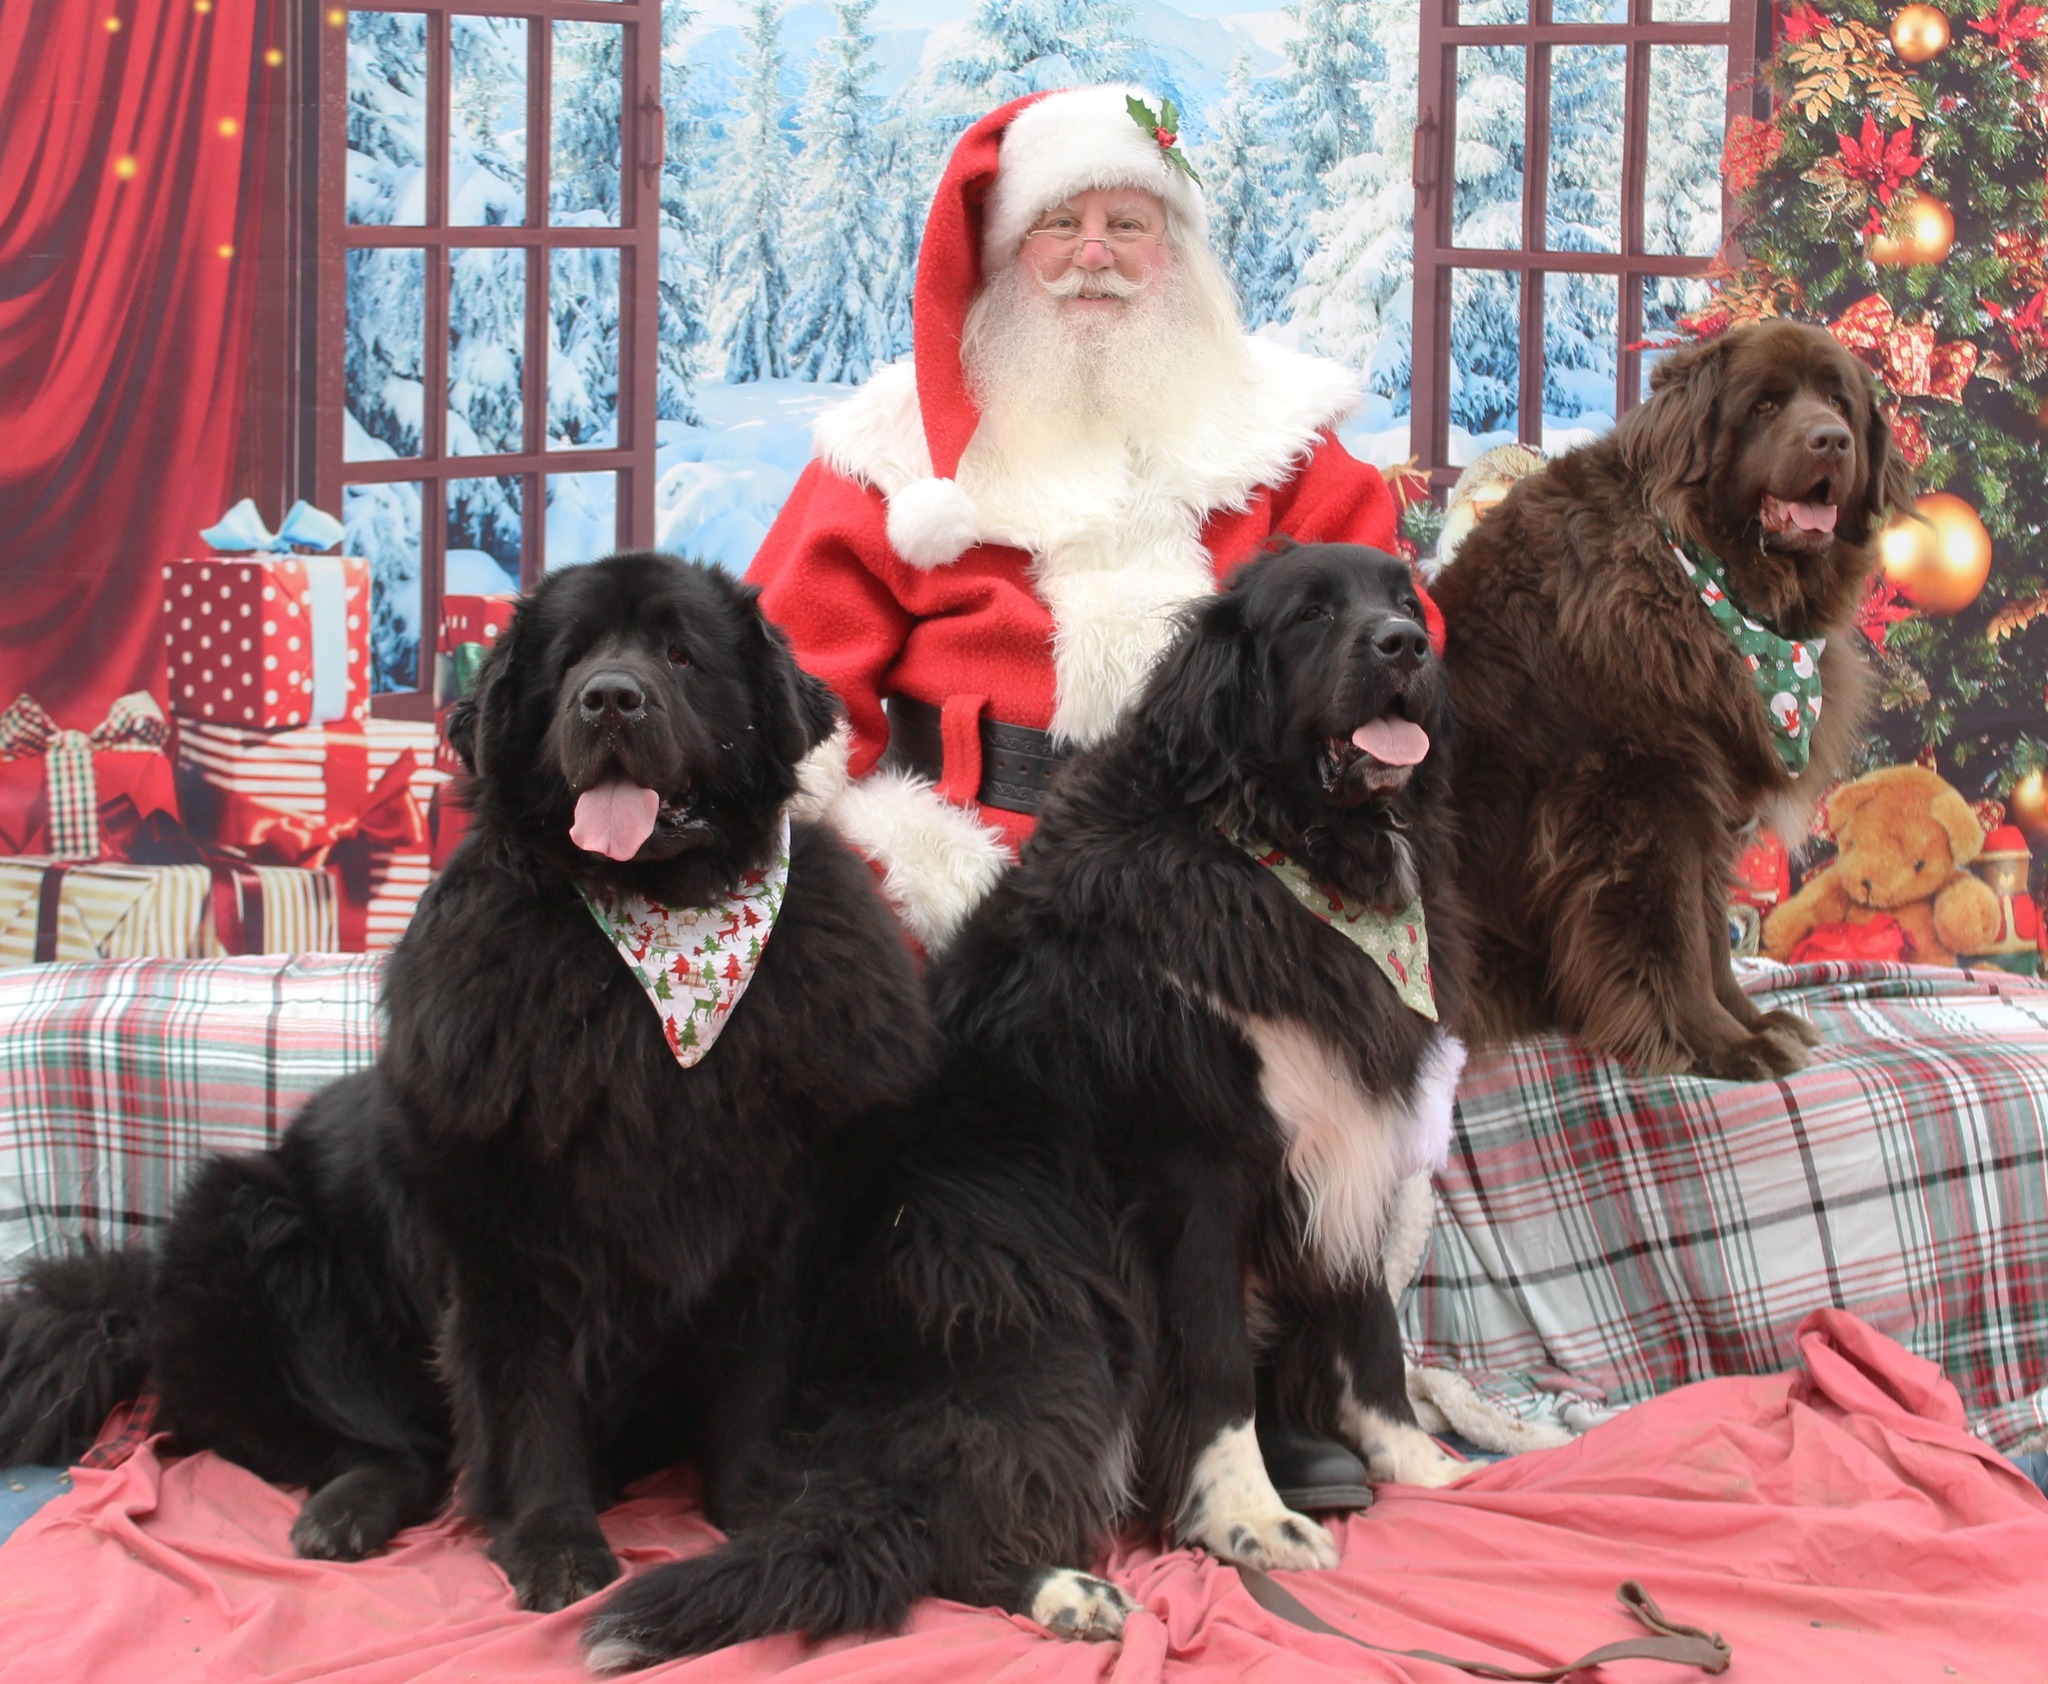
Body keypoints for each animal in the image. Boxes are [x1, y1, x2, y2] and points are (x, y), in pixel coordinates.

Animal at [0, 552, 935, 1612]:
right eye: (569, 661)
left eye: (681, 654)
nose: (610, 698)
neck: (653, 961)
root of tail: (136, 1294)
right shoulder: (501, 1232)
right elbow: (526, 1399)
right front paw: (555, 1542)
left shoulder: (771, 1216)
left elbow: (751, 1386)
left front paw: (757, 1511)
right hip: (240, 1228)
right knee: (372, 1442)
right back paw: (345, 1510)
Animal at [581, 541, 1472, 1668]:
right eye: (1310, 616)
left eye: (1405, 601)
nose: (1401, 646)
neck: (1280, 852)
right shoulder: (1197, 1170)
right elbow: (1220, 1369)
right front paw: (1248, 1521)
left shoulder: (1344, 1133)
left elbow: (1368, 1331)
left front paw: (1424, 1465)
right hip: (1049, 1322)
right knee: (943, 1521)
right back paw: (1064, 1590)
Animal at [1429, 320, 1910, 1079]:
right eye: (1764, 406)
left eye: (1840, 402)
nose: (1831, 440)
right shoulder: (1642, 797)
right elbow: (1674, 937)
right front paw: (1722, 1045)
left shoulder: (1706, 804)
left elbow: (1712, 937)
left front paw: (1754, 1022)